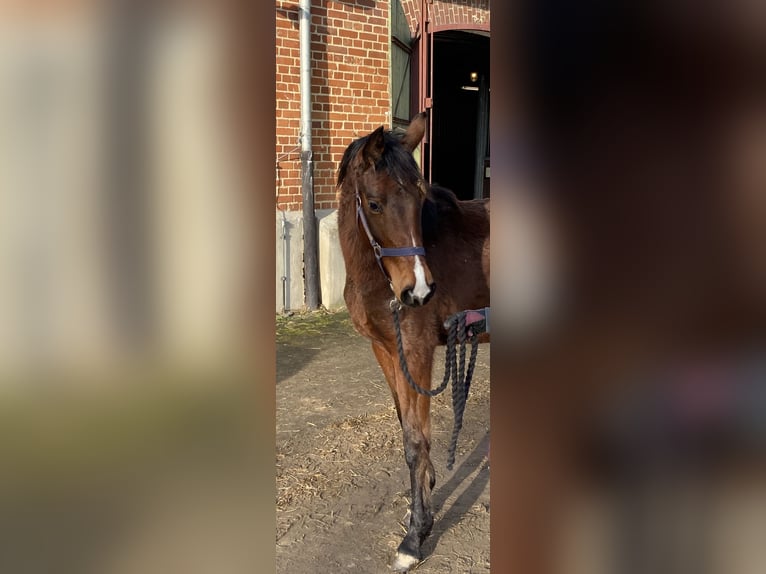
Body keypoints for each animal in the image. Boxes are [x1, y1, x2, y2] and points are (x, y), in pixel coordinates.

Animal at [336, 113, 490, 571]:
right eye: (374, 203)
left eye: (420, 201)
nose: (418, 292)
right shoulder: (386, 351)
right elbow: (406, 425)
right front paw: (420, 502)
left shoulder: (418, 351)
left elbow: (416, 439)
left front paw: (415, 537)